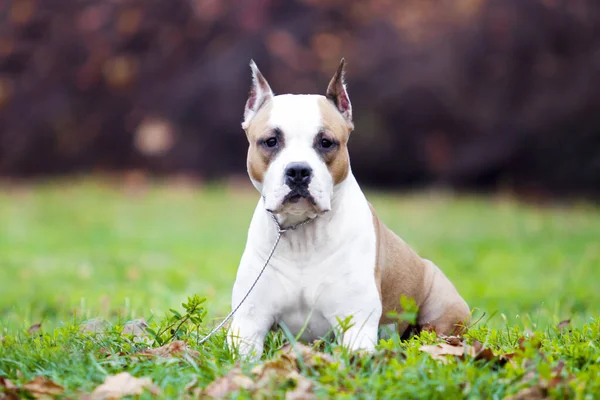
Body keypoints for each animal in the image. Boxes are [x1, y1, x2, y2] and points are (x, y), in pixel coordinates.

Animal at [227, 58, 472, 360]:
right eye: (271, 141)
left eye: (326, 142)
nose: (298, 171)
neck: (302, 234)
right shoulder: (248, 323)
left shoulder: (356, 323)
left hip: (441, 305)